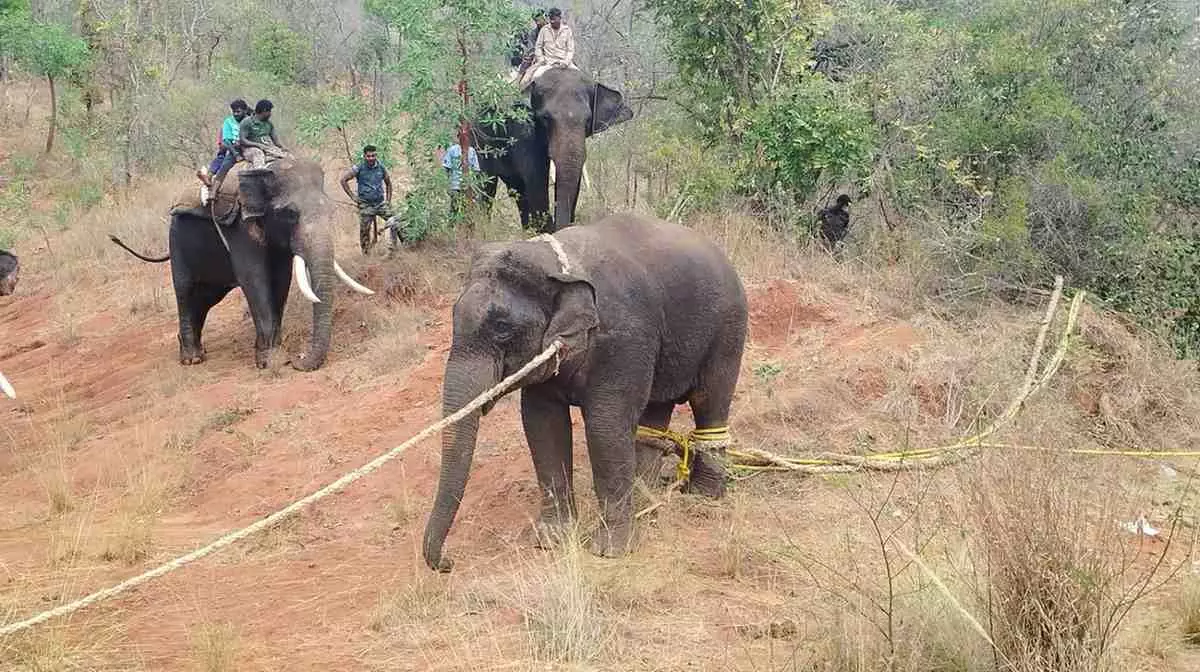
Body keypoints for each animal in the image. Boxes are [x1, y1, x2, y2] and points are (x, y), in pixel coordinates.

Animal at [109, 159, 374, 370]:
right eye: (290, 214)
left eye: (331, 210)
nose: (298, 360)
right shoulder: (241, 230)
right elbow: (254, 280)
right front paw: (271, 361)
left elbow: (281, 280)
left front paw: (272, 354)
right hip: (177, 243)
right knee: (185, 292)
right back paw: (192, 359)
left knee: (204, 298)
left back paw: (195, 350)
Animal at [422, 213, 748, 572]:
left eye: (503, 329)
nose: (448, 562)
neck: (558, 265)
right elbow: (542, 424)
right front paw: (551, 541)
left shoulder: (622, 338)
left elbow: (605, 426)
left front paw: (610, 551)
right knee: (656, 408)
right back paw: (644, 493)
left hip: (729, 328)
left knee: (710, 400)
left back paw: (703, 495)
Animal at [474, 68, 633, 233]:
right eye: (545, 118)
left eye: (588, 120)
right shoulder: (522, 129)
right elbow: (536, 176)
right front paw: (547, 230)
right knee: (488, 185)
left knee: (517, 190)